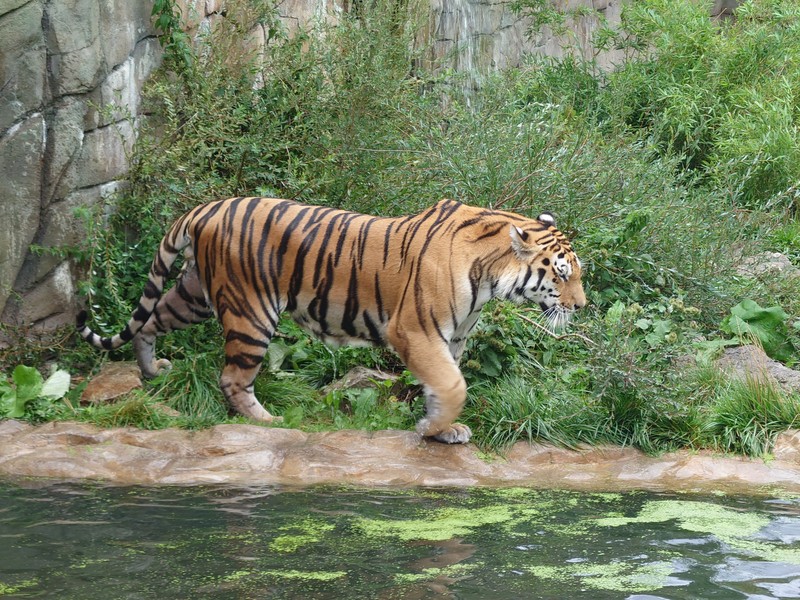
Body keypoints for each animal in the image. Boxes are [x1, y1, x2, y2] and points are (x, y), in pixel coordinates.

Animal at [77, 197, 586, 444]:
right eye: (562, 274)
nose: (581, 306)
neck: (488, 277)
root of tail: (207, 207)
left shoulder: (453, 336)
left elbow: (445, 383)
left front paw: (440, 427)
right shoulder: (415, 330)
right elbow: (453, 384)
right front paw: (432, 429)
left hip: (196, 293)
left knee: (148, 322)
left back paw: (151, 370)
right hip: (251, 310)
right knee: (232, 378)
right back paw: (269, 421)